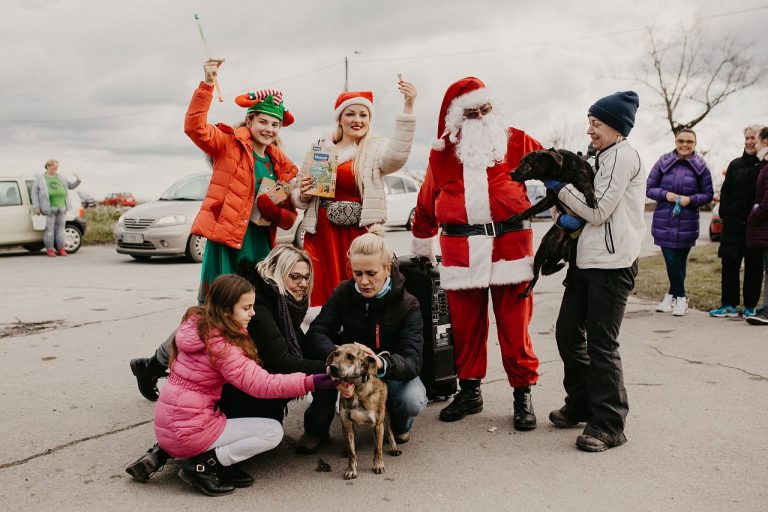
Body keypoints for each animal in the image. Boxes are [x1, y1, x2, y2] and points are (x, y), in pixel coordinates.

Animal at [326, 344, 402, 480]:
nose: (333, 367)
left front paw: (378, 465)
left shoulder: (378, 424)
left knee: (389, 430)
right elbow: (352, 452)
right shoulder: (347, 424)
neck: (356, 388)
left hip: (386, 416)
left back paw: (393, 446)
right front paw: (351, 469)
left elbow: (378, 448)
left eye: (350, 356)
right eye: (336, 354)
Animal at [510, 148, 600, 298]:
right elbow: (532, 208)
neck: (561, 172)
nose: (510, 173)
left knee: (571, 268)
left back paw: (567, 280)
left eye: (528, 162)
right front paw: (516, 218)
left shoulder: (582, 179)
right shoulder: (551, 197)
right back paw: (526, 291)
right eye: (521, 161)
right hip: (540, 253)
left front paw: (590, 197)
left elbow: (587, 185)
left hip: (574, 253)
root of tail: (561, 249)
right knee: (536, 276)